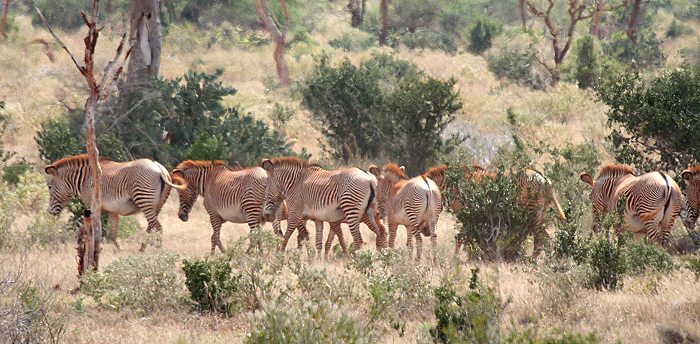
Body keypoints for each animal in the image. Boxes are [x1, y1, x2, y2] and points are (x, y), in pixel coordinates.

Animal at [44, 155, 185, 251]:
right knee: (151, 227)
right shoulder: (113, 210)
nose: (49, 212)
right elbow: (112, 234)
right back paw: (142, 249)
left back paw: (159, 251)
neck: (84, 179)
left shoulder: (92, 206)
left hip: (143, 198)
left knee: (158, 227)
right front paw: (118, 250)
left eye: (50, 187)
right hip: (157, 204)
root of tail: (159, 168)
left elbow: (95, 231)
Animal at [424, 164, 568, 255]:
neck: (454, 185)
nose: (426, 231)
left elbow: (462, 237)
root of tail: (544, 179)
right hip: (540, 214)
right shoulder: (476, 218)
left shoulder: (468, 216)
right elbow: (470, 239)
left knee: (543, 238)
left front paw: (456, 261)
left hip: (532, 214)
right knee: (541, 239)